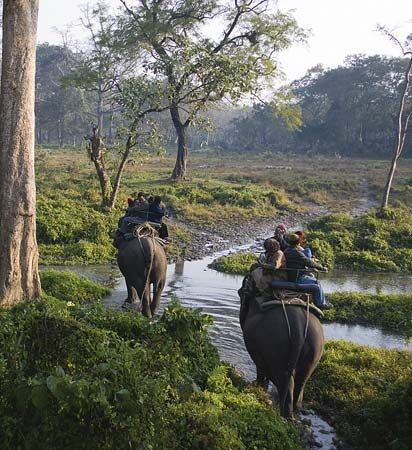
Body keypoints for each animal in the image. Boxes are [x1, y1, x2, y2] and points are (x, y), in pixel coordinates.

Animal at [238, 276, 326, 420]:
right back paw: (295, 412)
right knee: (301, 382)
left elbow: (260, 368)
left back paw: (285, 416)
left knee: (285, 382)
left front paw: (257, 386)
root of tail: (297, 326)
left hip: (276, 348)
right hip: (315, 347)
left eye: (240, 292)